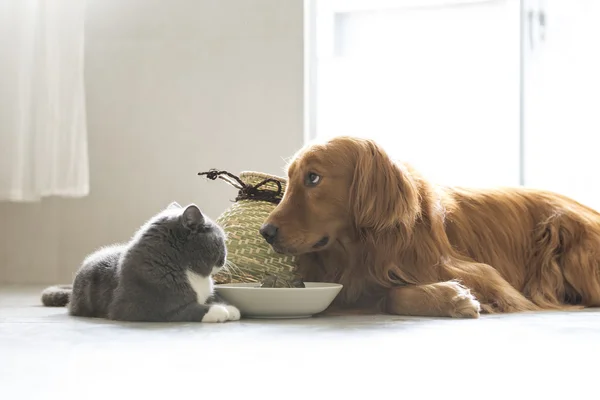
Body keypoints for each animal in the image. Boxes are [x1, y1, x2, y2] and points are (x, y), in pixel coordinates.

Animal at [39, 202, 241, 324]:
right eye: (221, 240)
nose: (226, 258)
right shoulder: (144, 308)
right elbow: (187, 309)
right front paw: (219, 312)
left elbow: (214, 297)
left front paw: (231, 308)